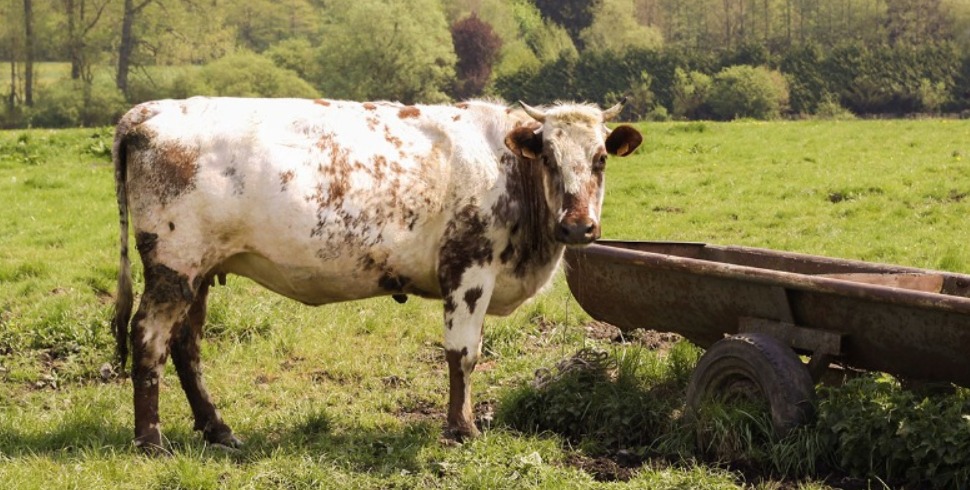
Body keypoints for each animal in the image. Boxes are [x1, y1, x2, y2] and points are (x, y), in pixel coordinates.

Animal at [111, 96, 643, 451]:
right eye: (549, 157)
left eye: (600, 159)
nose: (577, 226)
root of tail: (147, 112)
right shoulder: (468, 267)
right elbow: (463, 354)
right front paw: (462, 428)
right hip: (173, 264)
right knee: (150, 338)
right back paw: (150, 440)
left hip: (200, 270)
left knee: (186, 345)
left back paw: (217, 429)